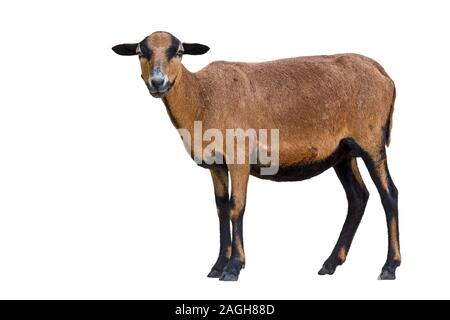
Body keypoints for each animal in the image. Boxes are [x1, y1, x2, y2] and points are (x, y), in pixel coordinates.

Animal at [112, 30, 400, 280]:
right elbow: (221, 209)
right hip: (343, 151)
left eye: (180, 52)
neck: (201, 98)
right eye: (141, 52)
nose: (157, 82)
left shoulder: (239, 158)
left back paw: (389, 267)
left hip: (371, 140)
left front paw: (233, 268)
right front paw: (218, 265)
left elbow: (237, 207)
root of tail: (383, 73)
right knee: (358, 197)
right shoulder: (216, 164)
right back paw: (331, 263)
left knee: (389, 194)